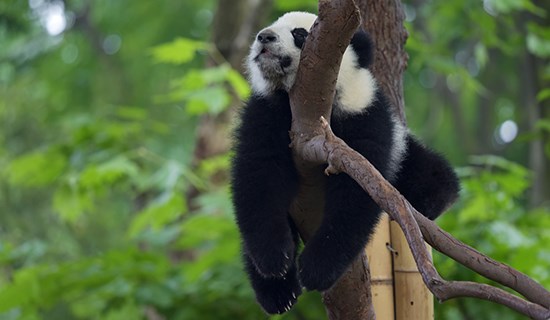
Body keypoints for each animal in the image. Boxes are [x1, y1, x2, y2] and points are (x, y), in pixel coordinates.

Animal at [230, 11, 462, 314]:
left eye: (299, 34)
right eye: (272, 26)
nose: (264, 37)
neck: (303, 106)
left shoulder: (364, 116)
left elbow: (356, 194)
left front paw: (315, 269)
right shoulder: (265, 111)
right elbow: (258, 177)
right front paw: (275, 260)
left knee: (433, 177)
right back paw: (277, 293)